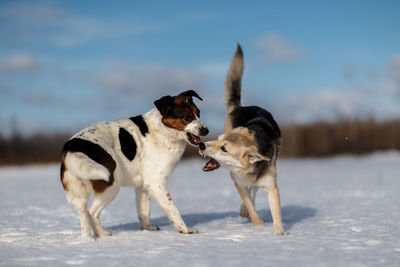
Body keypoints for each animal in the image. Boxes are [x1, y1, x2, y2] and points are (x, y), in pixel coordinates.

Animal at [61, 90, 209, 239]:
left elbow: (144, 209)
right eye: (187, 117)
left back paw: (89, 239)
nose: (205, 130)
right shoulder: (156, 183)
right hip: (111, 186)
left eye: (199, 113)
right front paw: (185, 229)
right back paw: (102, 234)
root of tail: (73, 145)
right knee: (92, 212)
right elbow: (172, 208)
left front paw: (147, 228)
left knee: (84, 214)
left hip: (79, 195)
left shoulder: (143, 186)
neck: (162, 130)